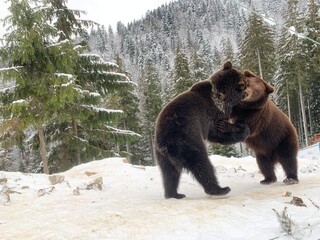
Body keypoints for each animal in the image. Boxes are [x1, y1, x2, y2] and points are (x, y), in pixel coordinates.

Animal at [155, 61, 250, 199]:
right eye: (245, 84)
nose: (247, 93)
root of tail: (165, 145)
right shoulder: (210, 115)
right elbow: (218, 133)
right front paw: (243, 131)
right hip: (187, 141)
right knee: (202, 164)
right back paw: (220, 189)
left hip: (163, 156)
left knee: (170, 174)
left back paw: (174, 194)